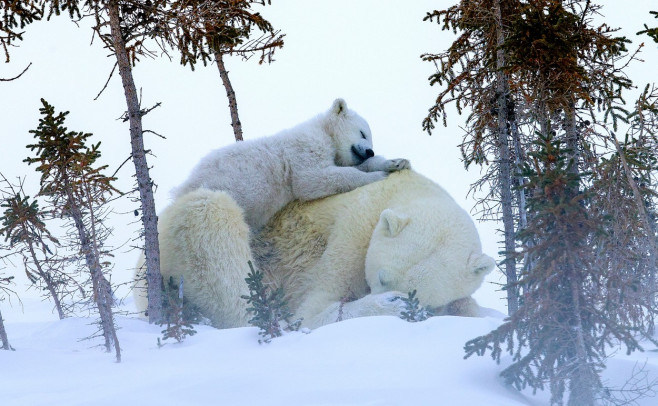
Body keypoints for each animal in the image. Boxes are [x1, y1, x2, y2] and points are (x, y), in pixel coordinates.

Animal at [138, 170, 494, 328]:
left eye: (422, 293)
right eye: (382, 277)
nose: (394, 298)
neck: (406, 187)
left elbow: (467, 304)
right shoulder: (354, 229)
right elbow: (313, 310)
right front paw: (385, 307)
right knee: (207, 213)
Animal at [170, 98, 404, 230]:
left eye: (371, 139)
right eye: (363, 133)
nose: (370, 151)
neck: (323, 130)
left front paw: (394, 162)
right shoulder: (305, 147)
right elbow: (314, 178)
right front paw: (378, 176)